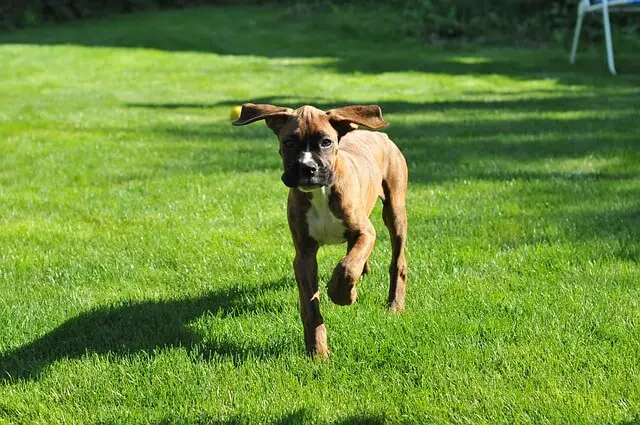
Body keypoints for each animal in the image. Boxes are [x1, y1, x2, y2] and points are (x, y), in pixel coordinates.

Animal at [232, 103, 408, 358]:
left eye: (326, 142)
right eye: (289, 142)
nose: (307, 168)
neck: (321, 193)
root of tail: (378, 135)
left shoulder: (366, 232)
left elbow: (346, 268)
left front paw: (341, 295)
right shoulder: (304, 255)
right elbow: (310, 306)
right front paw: (317, 351)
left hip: (395, 213)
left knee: (397, 262)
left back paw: (394, 303)